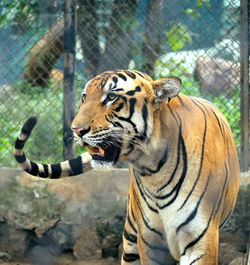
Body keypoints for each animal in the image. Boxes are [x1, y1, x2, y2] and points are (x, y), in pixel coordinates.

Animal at [14, 69, 240, 264]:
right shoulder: (149, 242)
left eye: (111, 97)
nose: (76, 130)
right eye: (84, 97)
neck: (154, 169)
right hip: (131, 236)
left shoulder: (200, 242)